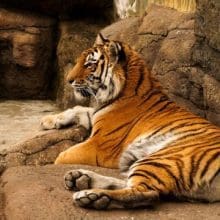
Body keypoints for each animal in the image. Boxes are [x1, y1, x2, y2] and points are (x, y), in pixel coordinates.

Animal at [40, 33, 219, 209]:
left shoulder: (98, 147)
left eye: (89, 65)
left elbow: (61, 156)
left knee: (146, 193)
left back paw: (93, 196)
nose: (68, 81)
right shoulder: (96, 115)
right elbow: (79, 109)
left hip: (164, 158)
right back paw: (80, 178)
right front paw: (48, 120)